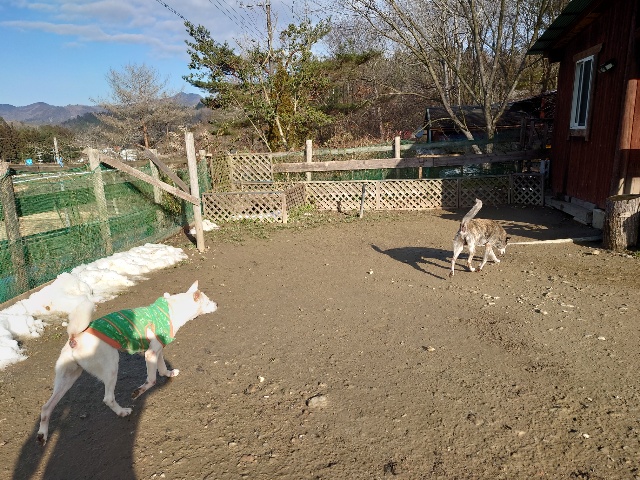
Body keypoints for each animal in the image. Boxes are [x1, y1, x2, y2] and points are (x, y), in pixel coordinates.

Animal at [37, 280, 217, 446]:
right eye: (208, 301)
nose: (217, 304)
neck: (172, 311)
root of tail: (75, 338)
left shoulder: (158, 351)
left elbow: (162, 368)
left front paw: (169, 373)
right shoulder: (150, 354)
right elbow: (152, 380)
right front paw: (138, 392)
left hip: (68, 377)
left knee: (46, 407)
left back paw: (42, 435)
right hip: (111, 367)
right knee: (108, 398)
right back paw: (122, 412)